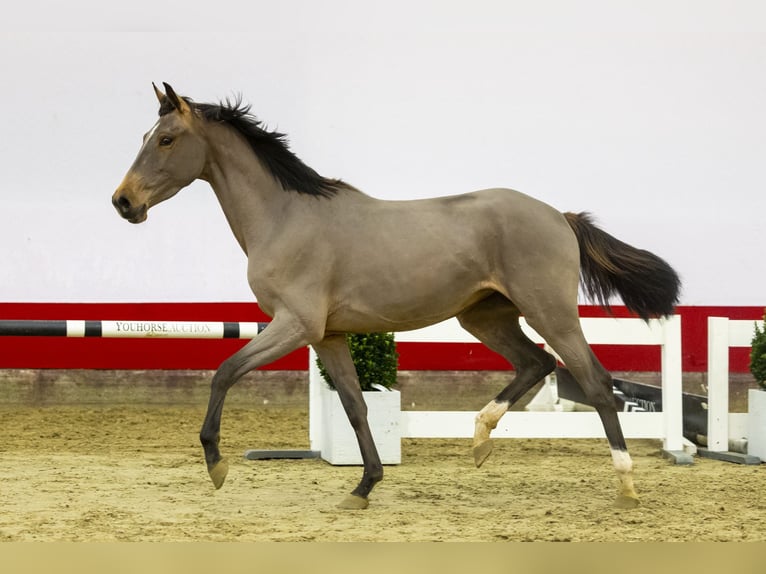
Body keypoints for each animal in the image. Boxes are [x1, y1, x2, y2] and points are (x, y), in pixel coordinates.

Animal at [111, 83, 680, 510]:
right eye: (144, 135)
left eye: (166, 139)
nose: (123, 202)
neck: (284, 217)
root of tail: (559, 215)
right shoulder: (328, 335)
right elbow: (355, 405)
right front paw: (363, 487)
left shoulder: (294, 324)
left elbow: (225, 371)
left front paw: (217, 464)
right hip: (485, 318)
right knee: (536, 366)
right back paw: (479, 441)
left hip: (551, 312)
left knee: (596, 381)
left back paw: (626, 486)